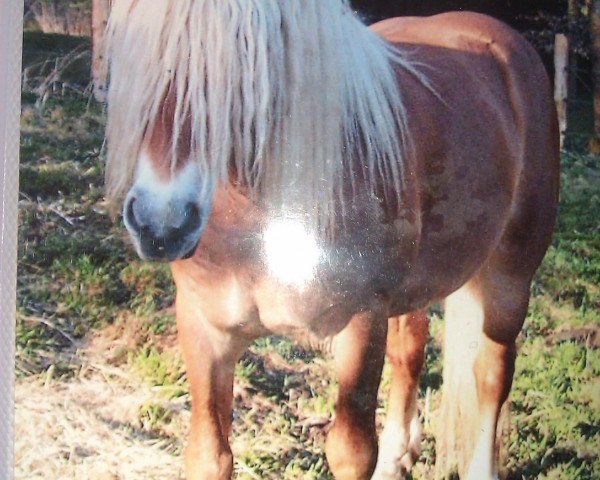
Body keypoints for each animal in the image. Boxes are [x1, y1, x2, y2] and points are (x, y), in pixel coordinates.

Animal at [103, 1, 556, 478]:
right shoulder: (204, 328)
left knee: (491, 373)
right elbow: (210, 456)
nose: (161, 224)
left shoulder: (361, 323)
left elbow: (351, 451)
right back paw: (397, 458)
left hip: (510, 276)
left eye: (245, 62)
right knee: (410, 353)